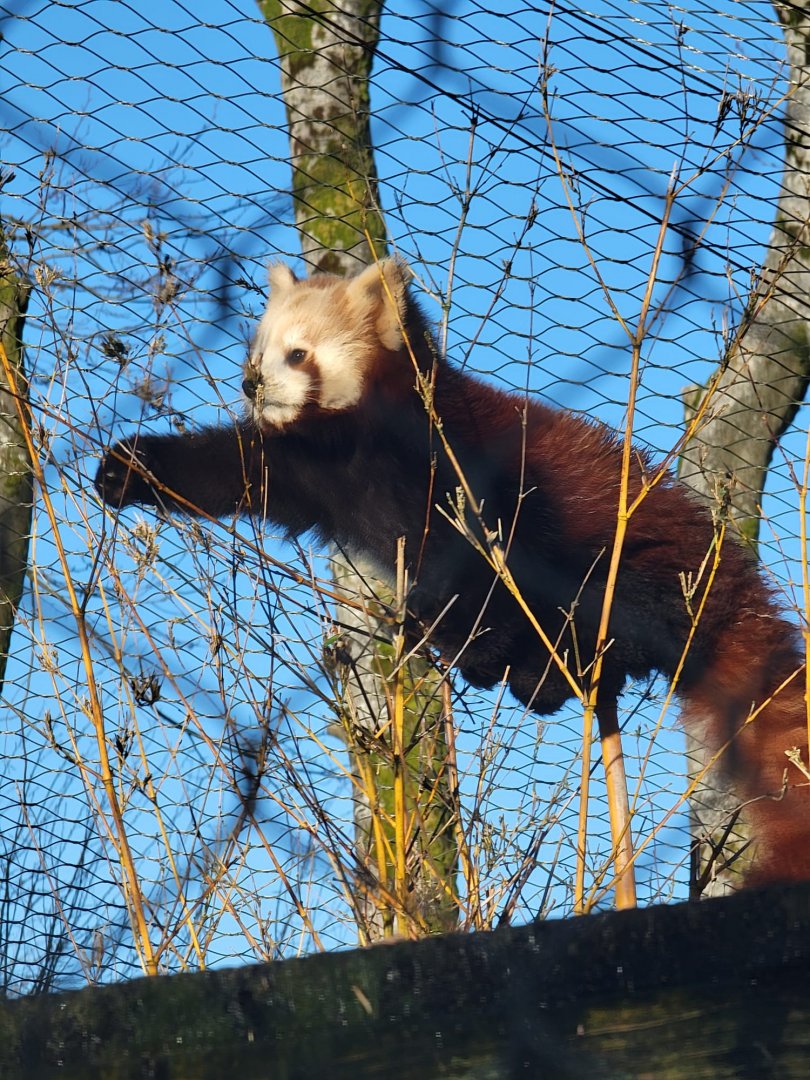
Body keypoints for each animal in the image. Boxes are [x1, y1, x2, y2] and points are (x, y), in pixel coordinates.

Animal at [96, 258, 809, 886]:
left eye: (298, 355)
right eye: (256, 355)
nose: (251, 386)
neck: (361, 446)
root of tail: (721, 564)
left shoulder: (459, 468)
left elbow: (474, 562)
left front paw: (442, 623)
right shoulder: (308, 470)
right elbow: (229, 469)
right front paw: (131, 468)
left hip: (624, 549)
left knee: (610, 602)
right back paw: (537, 673)